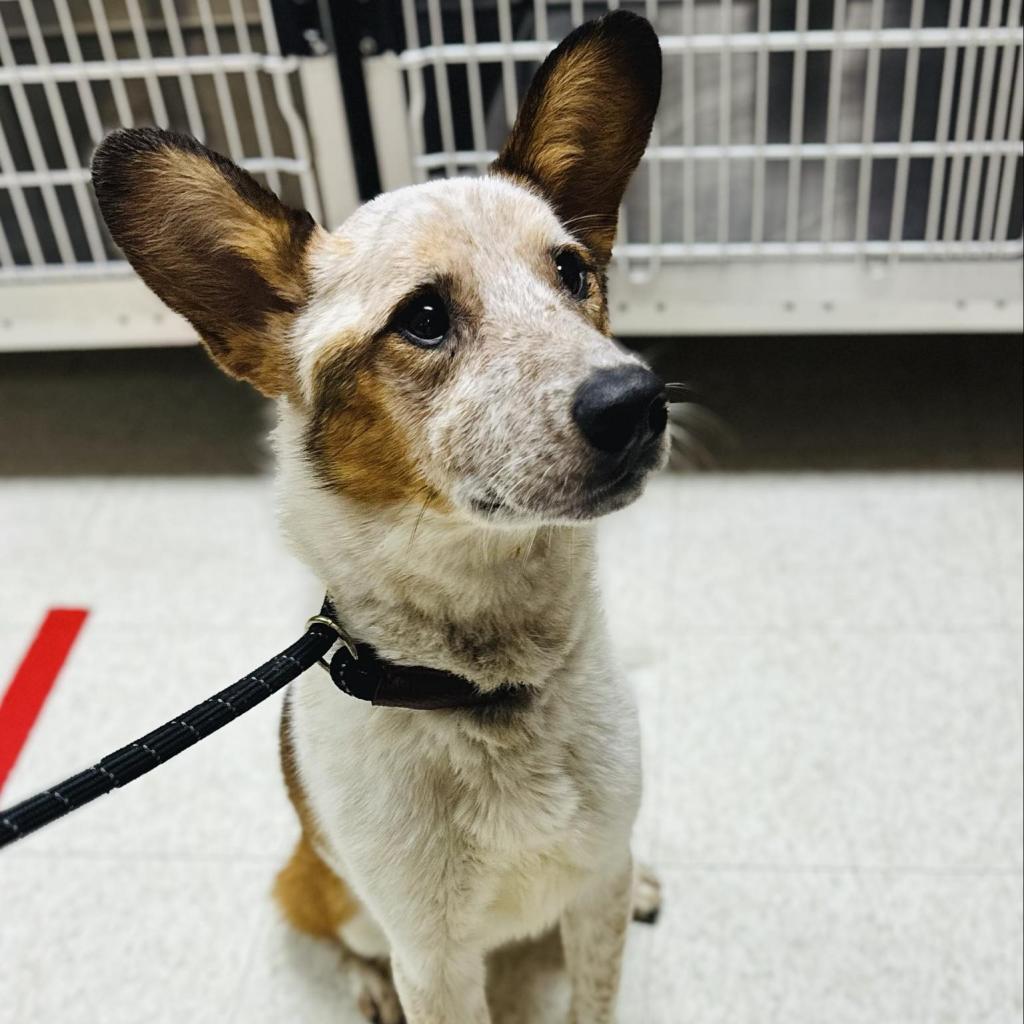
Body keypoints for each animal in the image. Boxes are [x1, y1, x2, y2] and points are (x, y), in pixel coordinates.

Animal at [92, 12, 667, 1019]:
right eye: (424, 317)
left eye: (572, 273)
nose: (637, 402)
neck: (487, 690)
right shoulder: (435, 960)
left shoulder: (590, 891)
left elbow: (596, 976)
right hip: (322, 888)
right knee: (339, 933)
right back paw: (364, 988)